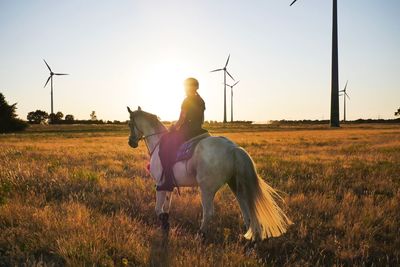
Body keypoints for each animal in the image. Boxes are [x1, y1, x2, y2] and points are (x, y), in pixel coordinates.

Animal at [127, 106, 290, 241]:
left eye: (129, 124)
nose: (131, 143)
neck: (158, 142)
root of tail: (233, 148)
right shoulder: (168, 185)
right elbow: (167, 206)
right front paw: (166, 222)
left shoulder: (160, 184)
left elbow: (158, 209)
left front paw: (163, 223)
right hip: (236, 186)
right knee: (246, 212)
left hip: (206, 189)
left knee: (208, 213)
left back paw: (201, 235)